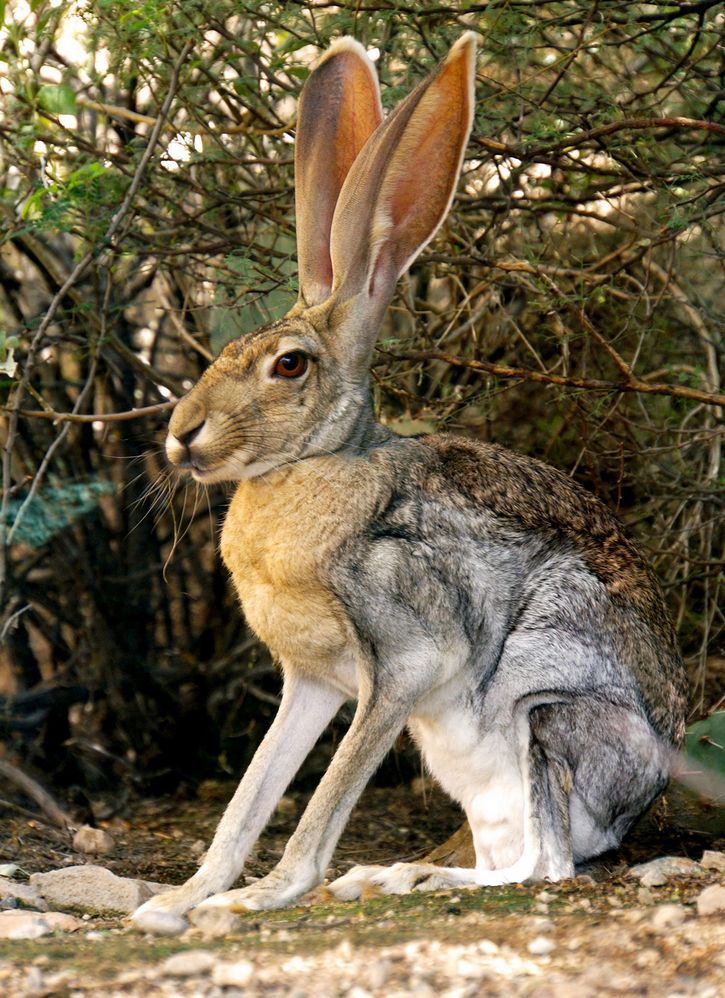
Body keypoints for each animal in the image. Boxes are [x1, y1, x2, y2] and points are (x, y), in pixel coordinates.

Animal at [132, 33, 687, 933]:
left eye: (289, 366)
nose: (182, 435)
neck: (320, 463)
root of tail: (635, 807)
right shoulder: (312, 681)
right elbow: (250, 796)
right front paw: (180, 900)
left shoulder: (399, 662)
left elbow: (326, 796)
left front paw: (264, 896)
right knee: (510, 858)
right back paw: (394, 875)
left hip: (543, 716)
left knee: (543, 867)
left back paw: (386, 878)